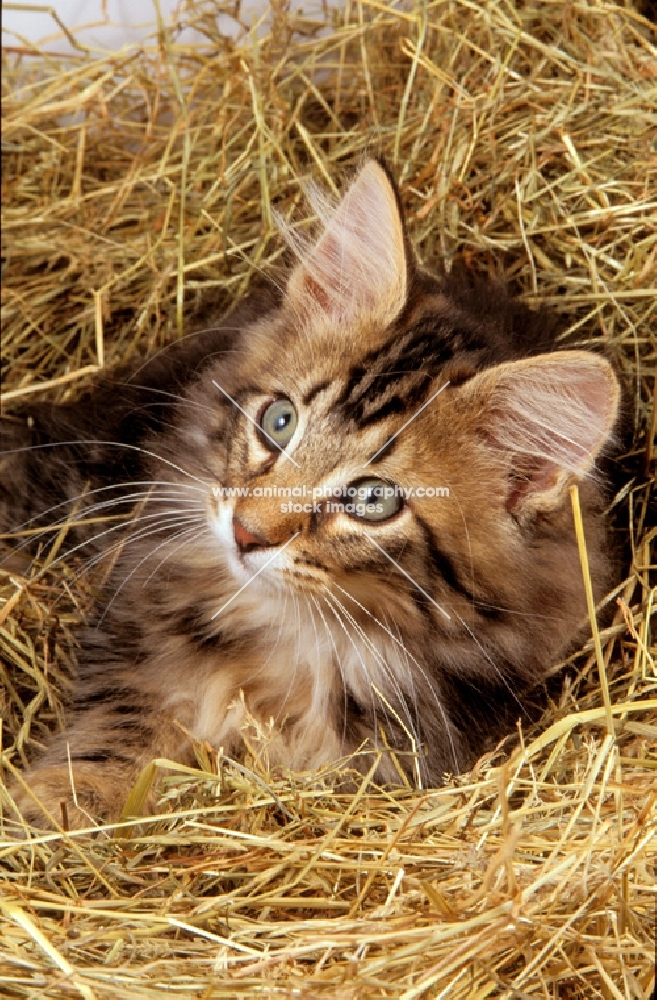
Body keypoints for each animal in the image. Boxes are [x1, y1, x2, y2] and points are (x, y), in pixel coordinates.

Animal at [0, 158, 616, 828]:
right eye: (280, 421)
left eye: (372, 501)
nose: (245, 533)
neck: (291, 631)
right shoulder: (137, 633)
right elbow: (119, 724)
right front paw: (56, 805)